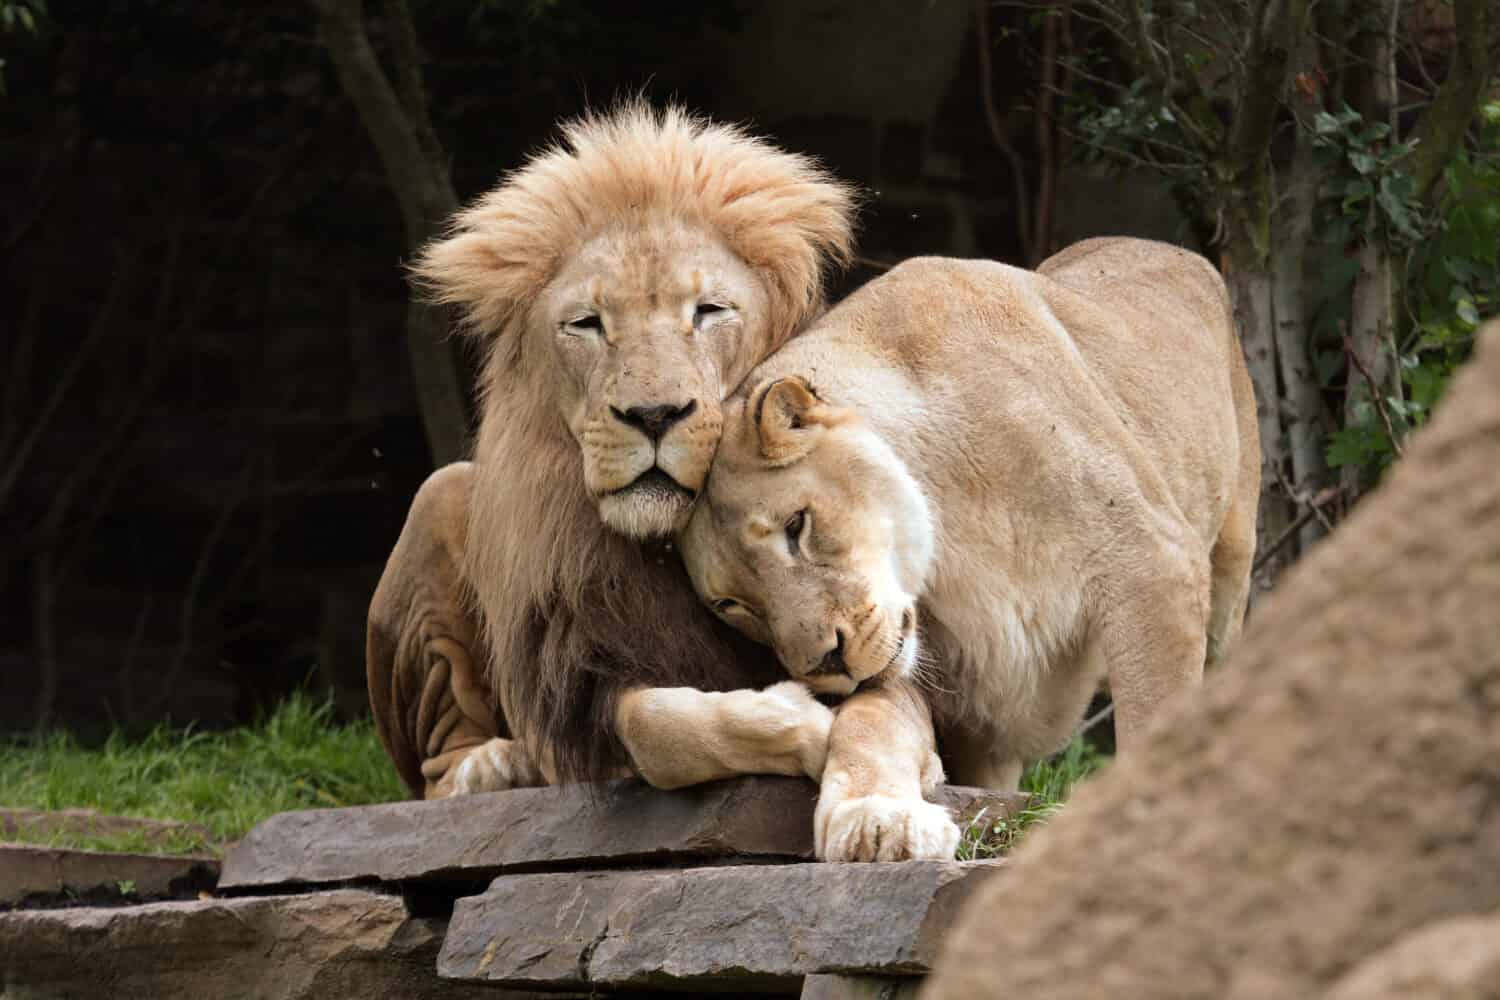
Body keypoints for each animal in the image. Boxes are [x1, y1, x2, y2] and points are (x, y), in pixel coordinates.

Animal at [366, 103, 857, 799]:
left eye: (709, 311)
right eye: (587, 323)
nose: (653, 415)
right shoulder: (587, 679)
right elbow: (656, 726)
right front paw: (809, 725)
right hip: (440, 495)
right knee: (438, 764)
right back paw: (492, 768)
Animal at [679, 238, 1260, 860]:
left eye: (797, 525)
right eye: (733, 605)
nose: (825, 664)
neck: (953, 526)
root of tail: (1168, 247)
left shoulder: (1151, 560)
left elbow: (1156, 713)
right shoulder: (939, 680)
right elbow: (869, 723)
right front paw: (872, 820)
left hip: (1231, 564)